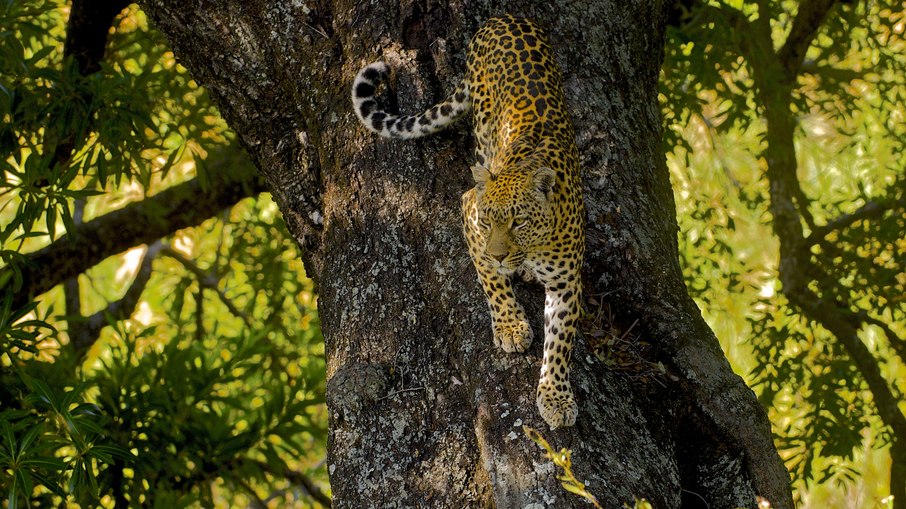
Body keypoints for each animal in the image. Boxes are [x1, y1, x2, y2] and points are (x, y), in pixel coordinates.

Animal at [351, 15, 585, 429]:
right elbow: (489, 279)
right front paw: (510, 326)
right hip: (482, 128)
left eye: (519, 221)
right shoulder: (469, 212)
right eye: (489, 221)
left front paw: (555, 397)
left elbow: (559, 344)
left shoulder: (566, 282)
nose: (500, 255)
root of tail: (502, 18)